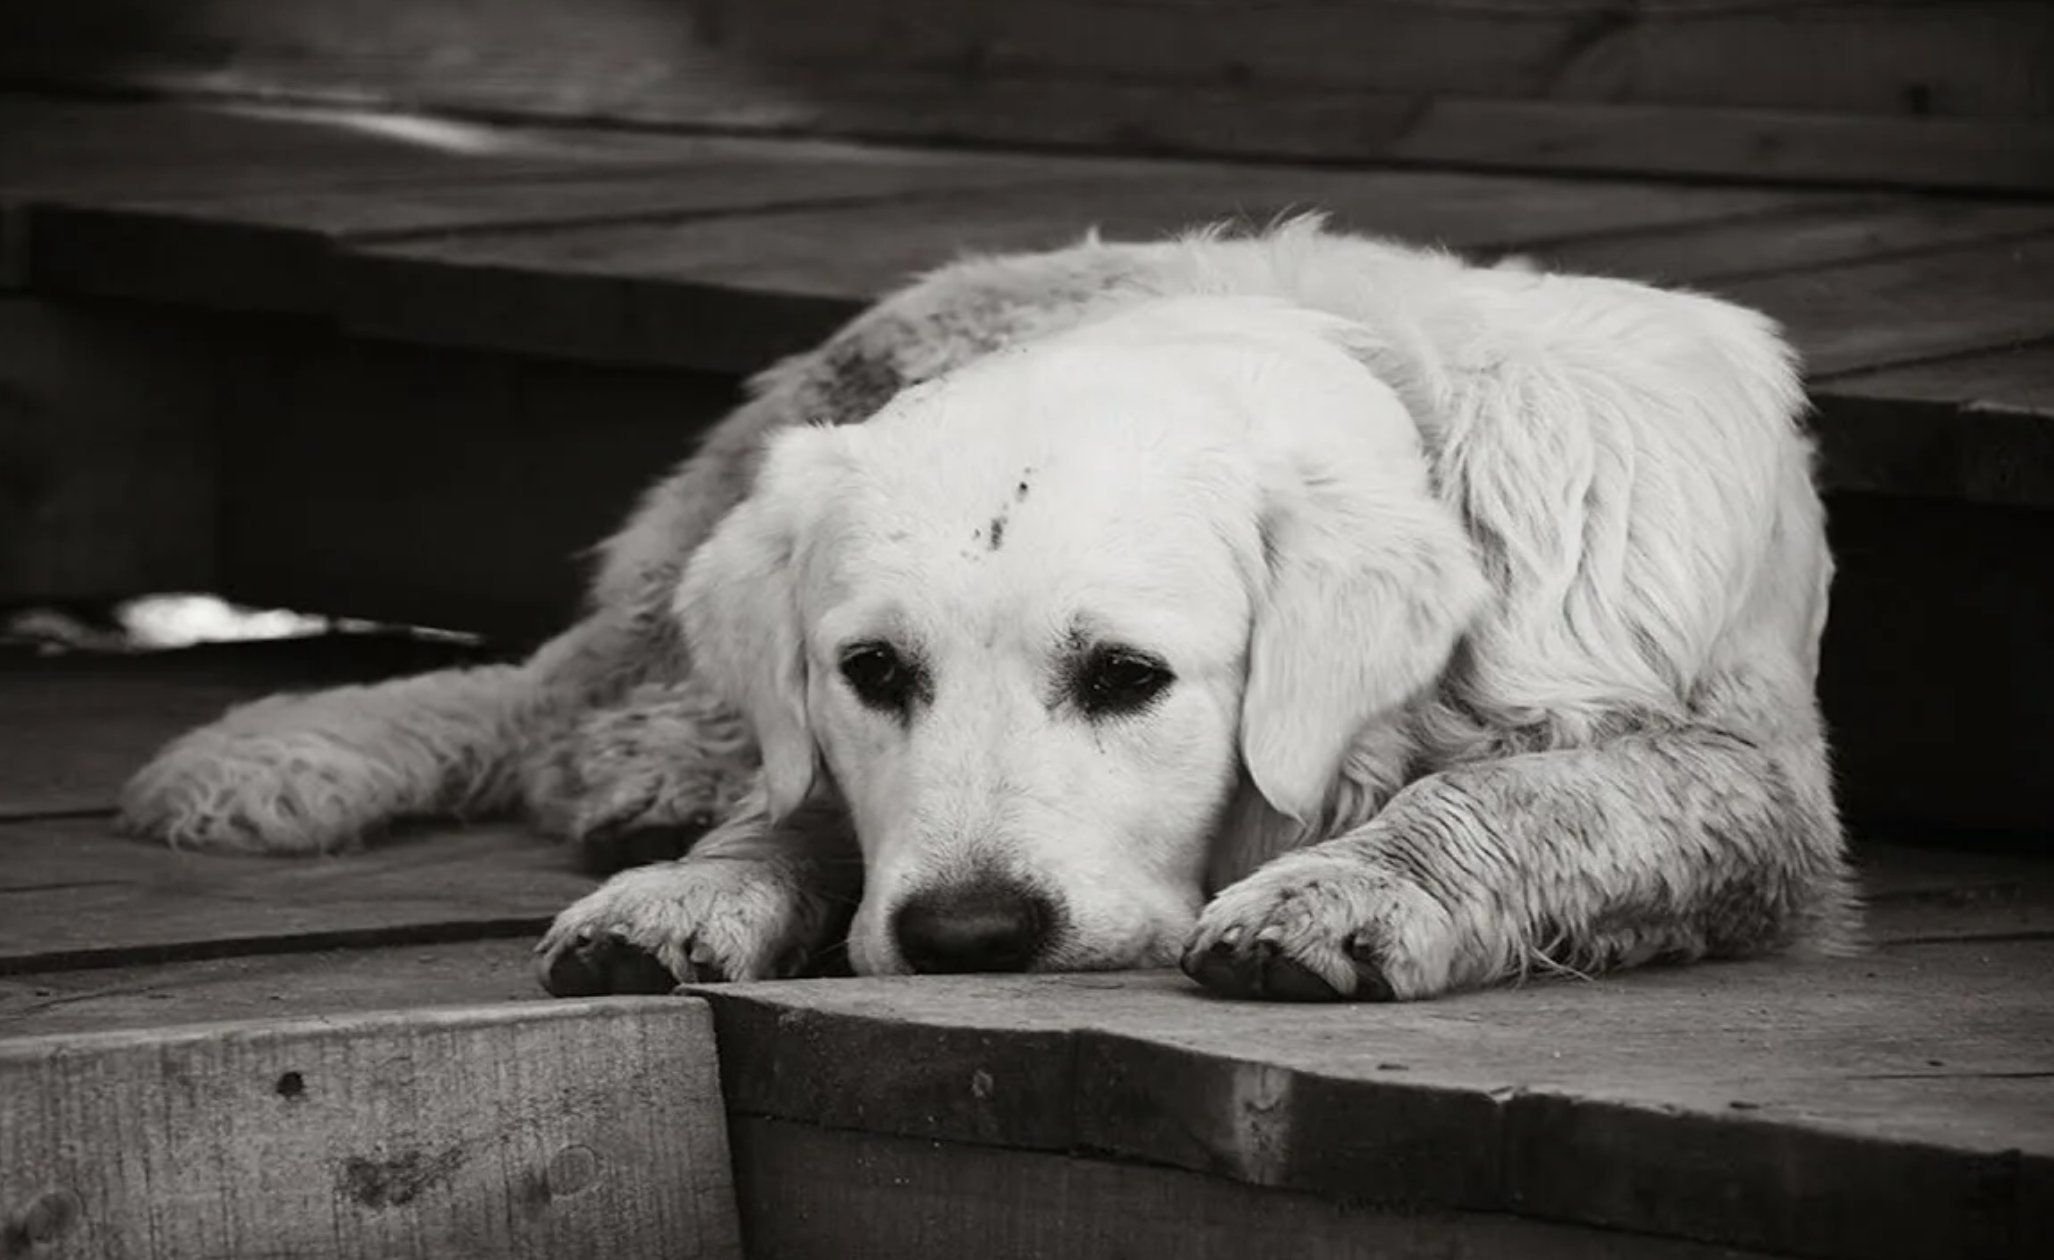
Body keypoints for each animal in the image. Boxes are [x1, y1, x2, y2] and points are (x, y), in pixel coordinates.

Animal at [128, 220, 1865, 998]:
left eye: (1128, 677)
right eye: (871, 671)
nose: (969, 938)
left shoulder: (1744, 776)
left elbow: (1530, 793)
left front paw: (1339, 893)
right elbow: (801, 806)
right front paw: (697, 890)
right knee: (560, 690)